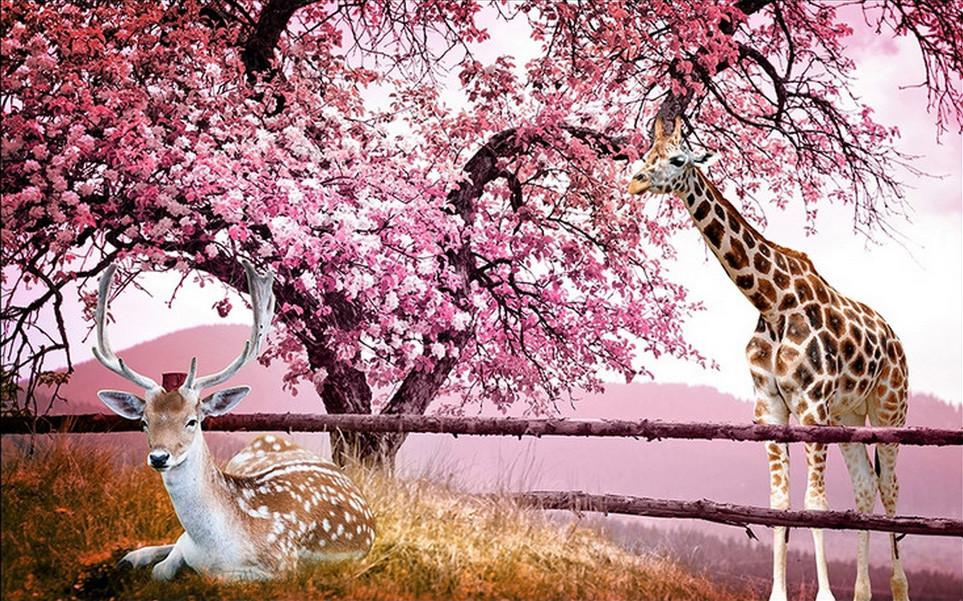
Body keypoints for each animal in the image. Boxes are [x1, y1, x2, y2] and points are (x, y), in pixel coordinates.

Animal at [93, 260, 375, 581]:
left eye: (192, 421)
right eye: (144, 422)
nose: (159, 457)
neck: (213, 545)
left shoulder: (282, 565)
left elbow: (209, 577)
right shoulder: (185, 545)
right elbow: (162, 569)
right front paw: (137, 558)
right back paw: (130, 556)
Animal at [628, 118, 910, 601]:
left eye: (678, 159)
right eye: (648, 153)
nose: (635, 181)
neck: (773, 303)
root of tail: (896, 338)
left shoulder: (812, 406)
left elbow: (814, 503)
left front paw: (824, 596)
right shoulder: (771, 407)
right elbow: (779, 503)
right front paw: (781, 594)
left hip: (890, 410)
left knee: (890, 490)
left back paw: (899, 587)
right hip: (849, 415)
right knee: (865, 489)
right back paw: (862, 592)